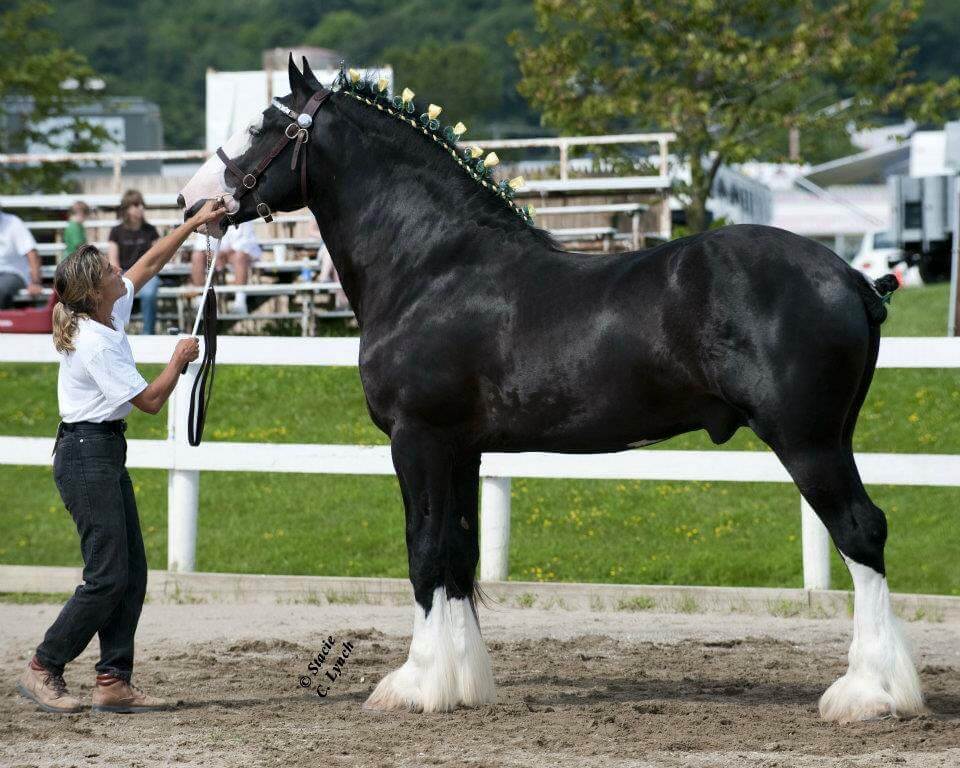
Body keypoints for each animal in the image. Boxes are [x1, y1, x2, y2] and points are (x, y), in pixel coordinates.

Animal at [180, 58, 924, 720]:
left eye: (265, 124)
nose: (193, 203)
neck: (434, 267)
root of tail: (852, 278)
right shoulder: (461, 449)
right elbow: (458, 555)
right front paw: (463, 685)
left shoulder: (417, 439)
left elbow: (424, 552)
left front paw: (416, 686)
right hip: (831, 437)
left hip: (808, 441)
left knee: (861, 532)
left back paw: (869, 695)